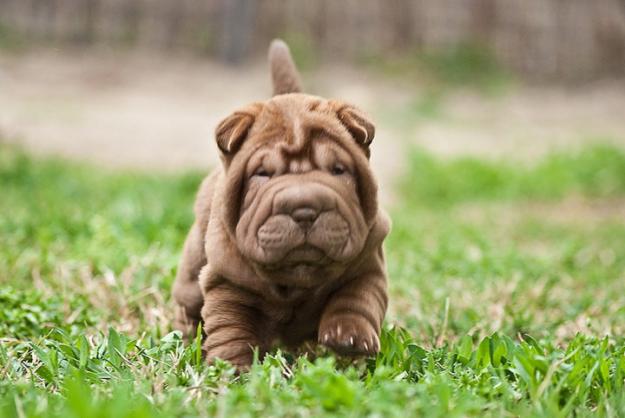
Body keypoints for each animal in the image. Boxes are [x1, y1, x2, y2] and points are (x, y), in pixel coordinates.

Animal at [168, 38, 388, 366]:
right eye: (263, 174)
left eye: (338, 170)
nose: (305, 210)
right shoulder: (227, 282)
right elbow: (231, 328)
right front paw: (231, 367)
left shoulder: (367, 263)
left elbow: (356, 299)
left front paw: (349, 338)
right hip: (193, 269)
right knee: (189, 303)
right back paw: (185, 337)